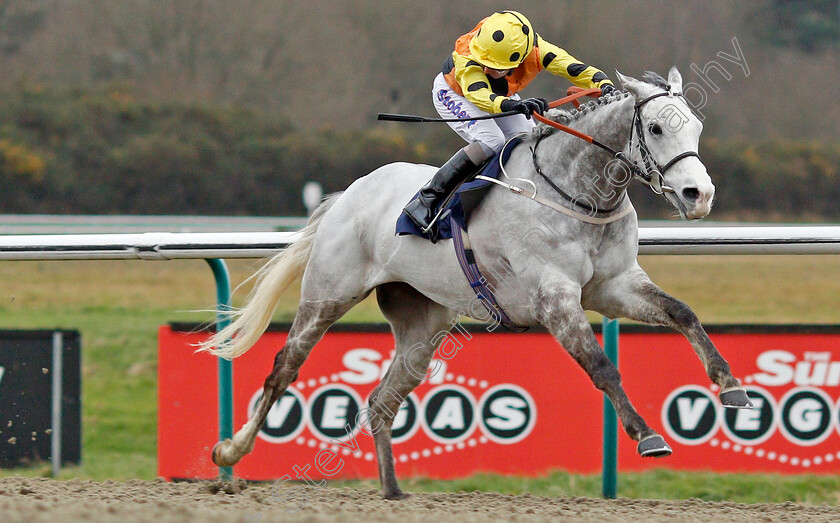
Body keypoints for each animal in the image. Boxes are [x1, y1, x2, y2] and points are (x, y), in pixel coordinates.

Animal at [200, 67, 752, 502]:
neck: (579, 192)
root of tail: (349, 194)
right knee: (282, 369)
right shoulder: (553, 298)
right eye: (655, 127)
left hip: (423, 326)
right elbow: (602, 368)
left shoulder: (615, 285)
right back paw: (230, 450)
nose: (698, 194)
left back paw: (392, 489)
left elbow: (682, 313)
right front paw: (646, 435)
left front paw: (732, 389)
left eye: (696, 126)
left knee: (382, 400)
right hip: (327, 295)